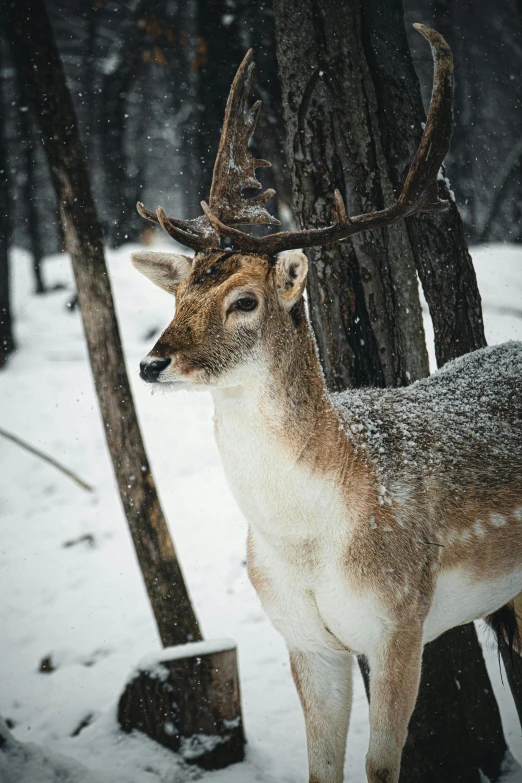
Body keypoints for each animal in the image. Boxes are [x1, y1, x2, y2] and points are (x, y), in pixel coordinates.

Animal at [129, 24, 520, 783]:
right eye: (180, 291)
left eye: (245, 301)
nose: (152, 361)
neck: (308, 541)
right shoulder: (305, 639)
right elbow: (321, 768)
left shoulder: (400, 619)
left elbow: (381, 765)